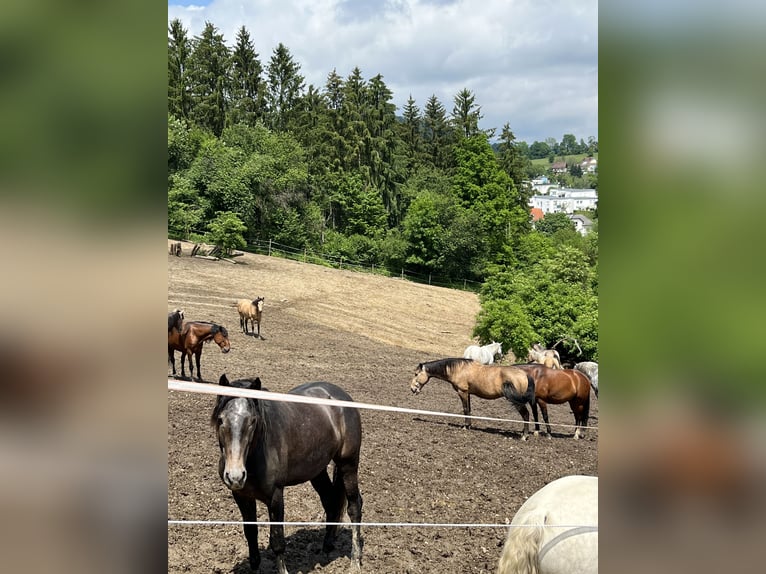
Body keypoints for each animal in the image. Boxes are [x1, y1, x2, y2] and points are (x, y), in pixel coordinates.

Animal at [212, 376, 364, 574]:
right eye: (221, 420)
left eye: (252, 420)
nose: (236, 476)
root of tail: (342, 397)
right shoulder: (241, 495)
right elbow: (251, 533)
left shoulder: (276, 497)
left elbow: (277, 540)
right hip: (317, 471)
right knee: (331, 503)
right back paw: (326, 549)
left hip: (348, 465)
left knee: (354, 507)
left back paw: (355, 561)